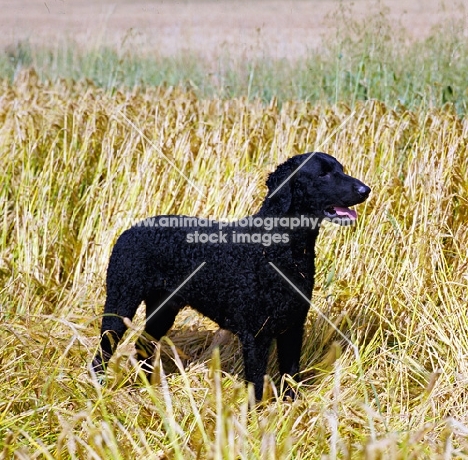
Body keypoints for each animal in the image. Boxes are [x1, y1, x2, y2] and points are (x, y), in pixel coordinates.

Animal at [90, 152, 370, 398]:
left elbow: (291, 375)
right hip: (121, 300)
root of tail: (129, 230)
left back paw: (149, 391)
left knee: (143, 346)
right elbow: (256, 384)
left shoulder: (292, 327)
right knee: (104, 349)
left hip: (163, 309)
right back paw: (99, 389)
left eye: (341, 169)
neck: (280, 249)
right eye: (323, 174)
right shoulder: (256, 335)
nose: (365, 190)